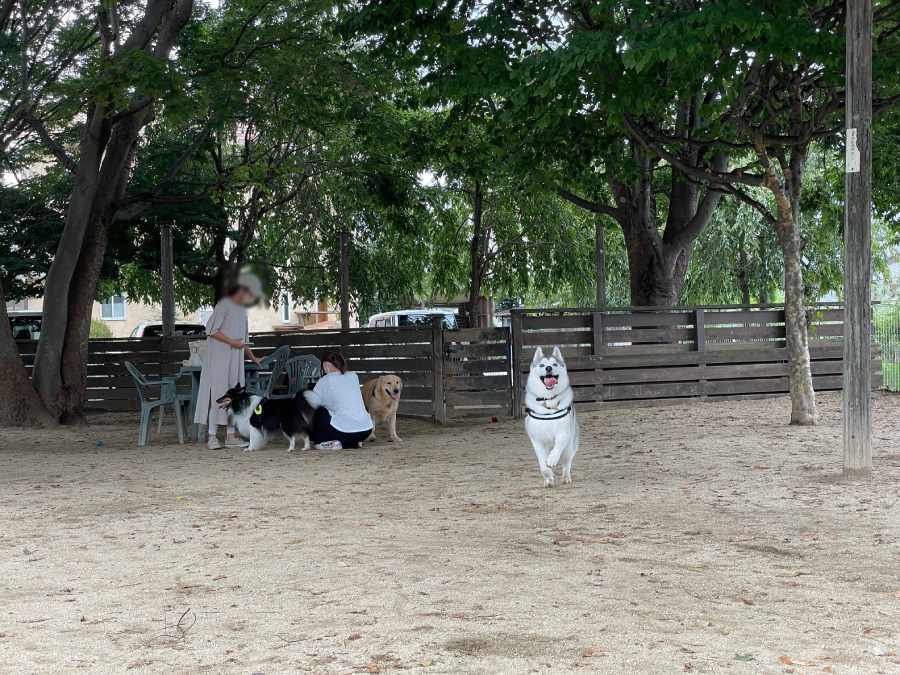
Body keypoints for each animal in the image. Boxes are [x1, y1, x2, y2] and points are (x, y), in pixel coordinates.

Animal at [524, 348, 580, 486]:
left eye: (554, 364)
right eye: (542, 365)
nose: (548, 368)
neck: (548, 402)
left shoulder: (563, 432)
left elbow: (557, 448)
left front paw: (552, 460)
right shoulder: (537, 439)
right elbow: (542, 464)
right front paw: (548, 476)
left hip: (570, 446)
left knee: (566, 462)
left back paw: (566, 477)